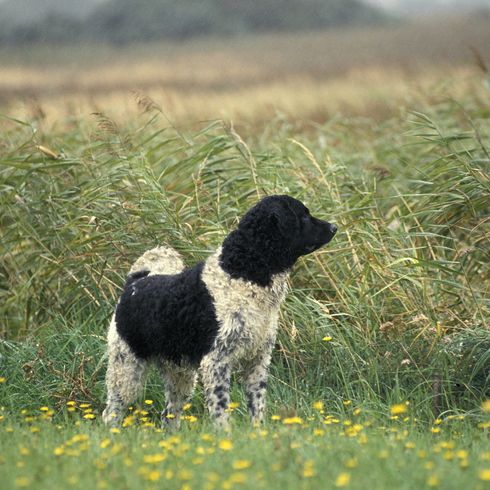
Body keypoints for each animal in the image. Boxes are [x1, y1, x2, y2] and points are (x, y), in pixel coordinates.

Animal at [101, 195, 338, 428]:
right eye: (303, 216)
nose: (334, 227)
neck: (243, 273)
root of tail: (135, 282)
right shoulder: (216, 361)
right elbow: (221, 411)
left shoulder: (258, 360)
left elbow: (257, 408)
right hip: (126, 369)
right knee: (111, 413)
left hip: (180, 375)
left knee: (169, 416)